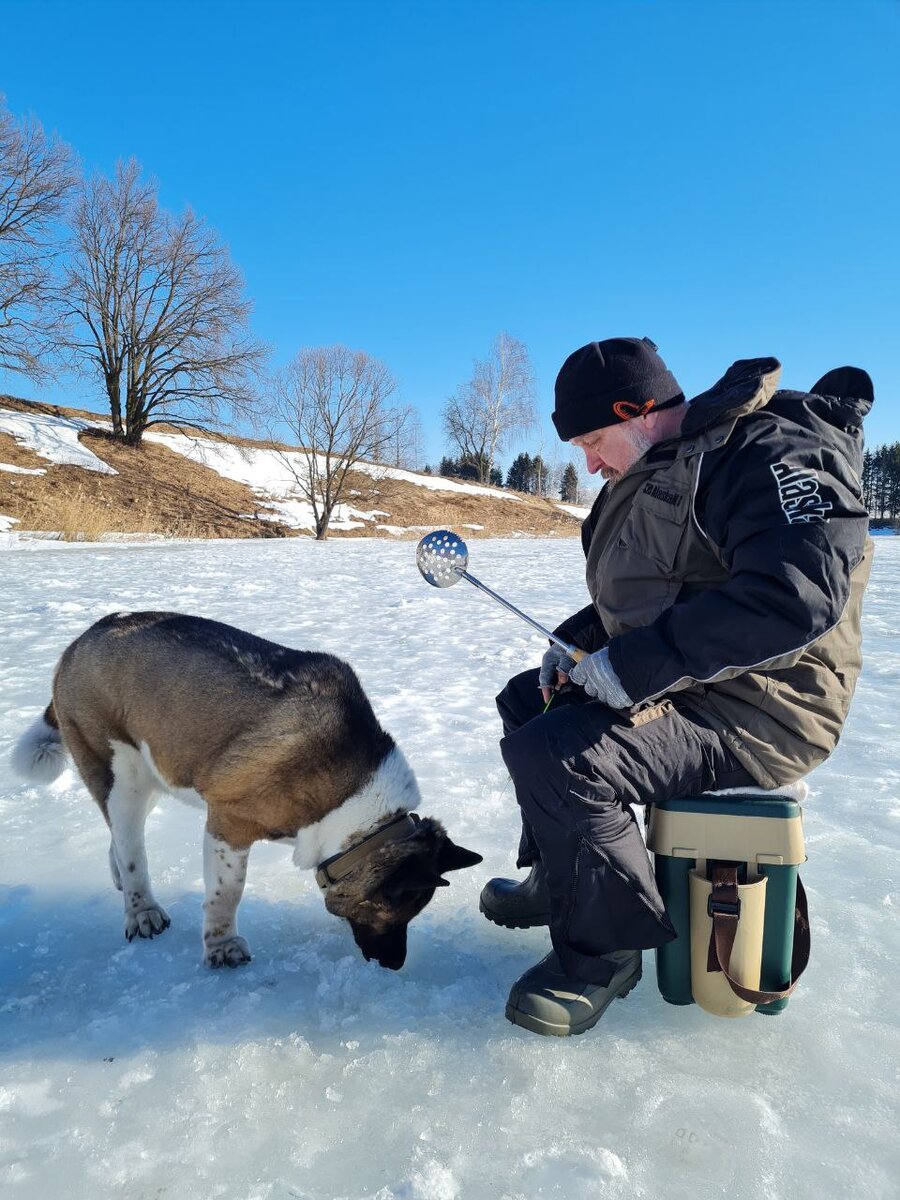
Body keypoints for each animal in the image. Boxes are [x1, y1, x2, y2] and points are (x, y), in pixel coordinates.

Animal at [10, 614, 482, 969]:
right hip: (117, 770)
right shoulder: (229, 827)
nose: (393, 965)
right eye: (395, 911)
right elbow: (227, 893)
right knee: (130, 847)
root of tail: (81, 640)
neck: (359, 809)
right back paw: (141, 910)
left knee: (119, 836)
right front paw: (222, 948)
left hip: (155, 768)